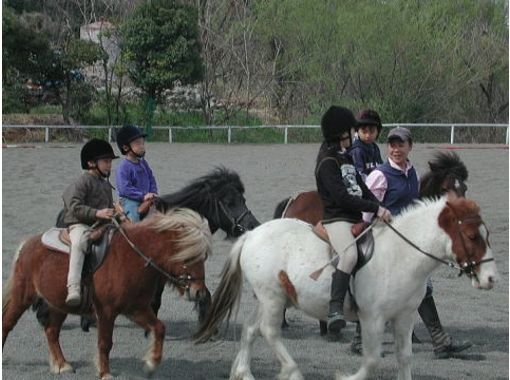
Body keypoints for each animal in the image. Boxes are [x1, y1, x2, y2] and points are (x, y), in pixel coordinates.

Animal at [1, 208, 211, 380]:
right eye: (189, 256)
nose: (199, 292)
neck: (133, 257)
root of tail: (27, 245)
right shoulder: (106, 311)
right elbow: (105, 343)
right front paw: (104, 373)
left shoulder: (136, 308)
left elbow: (159, 328)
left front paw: (151, 364)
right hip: (22, 296)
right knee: (7, 324)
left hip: (60, 304)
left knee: (52, 331)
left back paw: (62, 365)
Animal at [196, 196, 498, 380]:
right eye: (472, 236)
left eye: (487, 235)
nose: (492, 279)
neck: (401, 254)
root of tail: (251, 235)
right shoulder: (373, 318)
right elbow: (373, 359)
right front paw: (346, 376)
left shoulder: (404, 316)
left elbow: (405, 357)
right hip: (272, 299)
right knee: (269, 332)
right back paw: (292, 371)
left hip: (270, 296)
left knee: (250, 329)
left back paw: (244, 372)